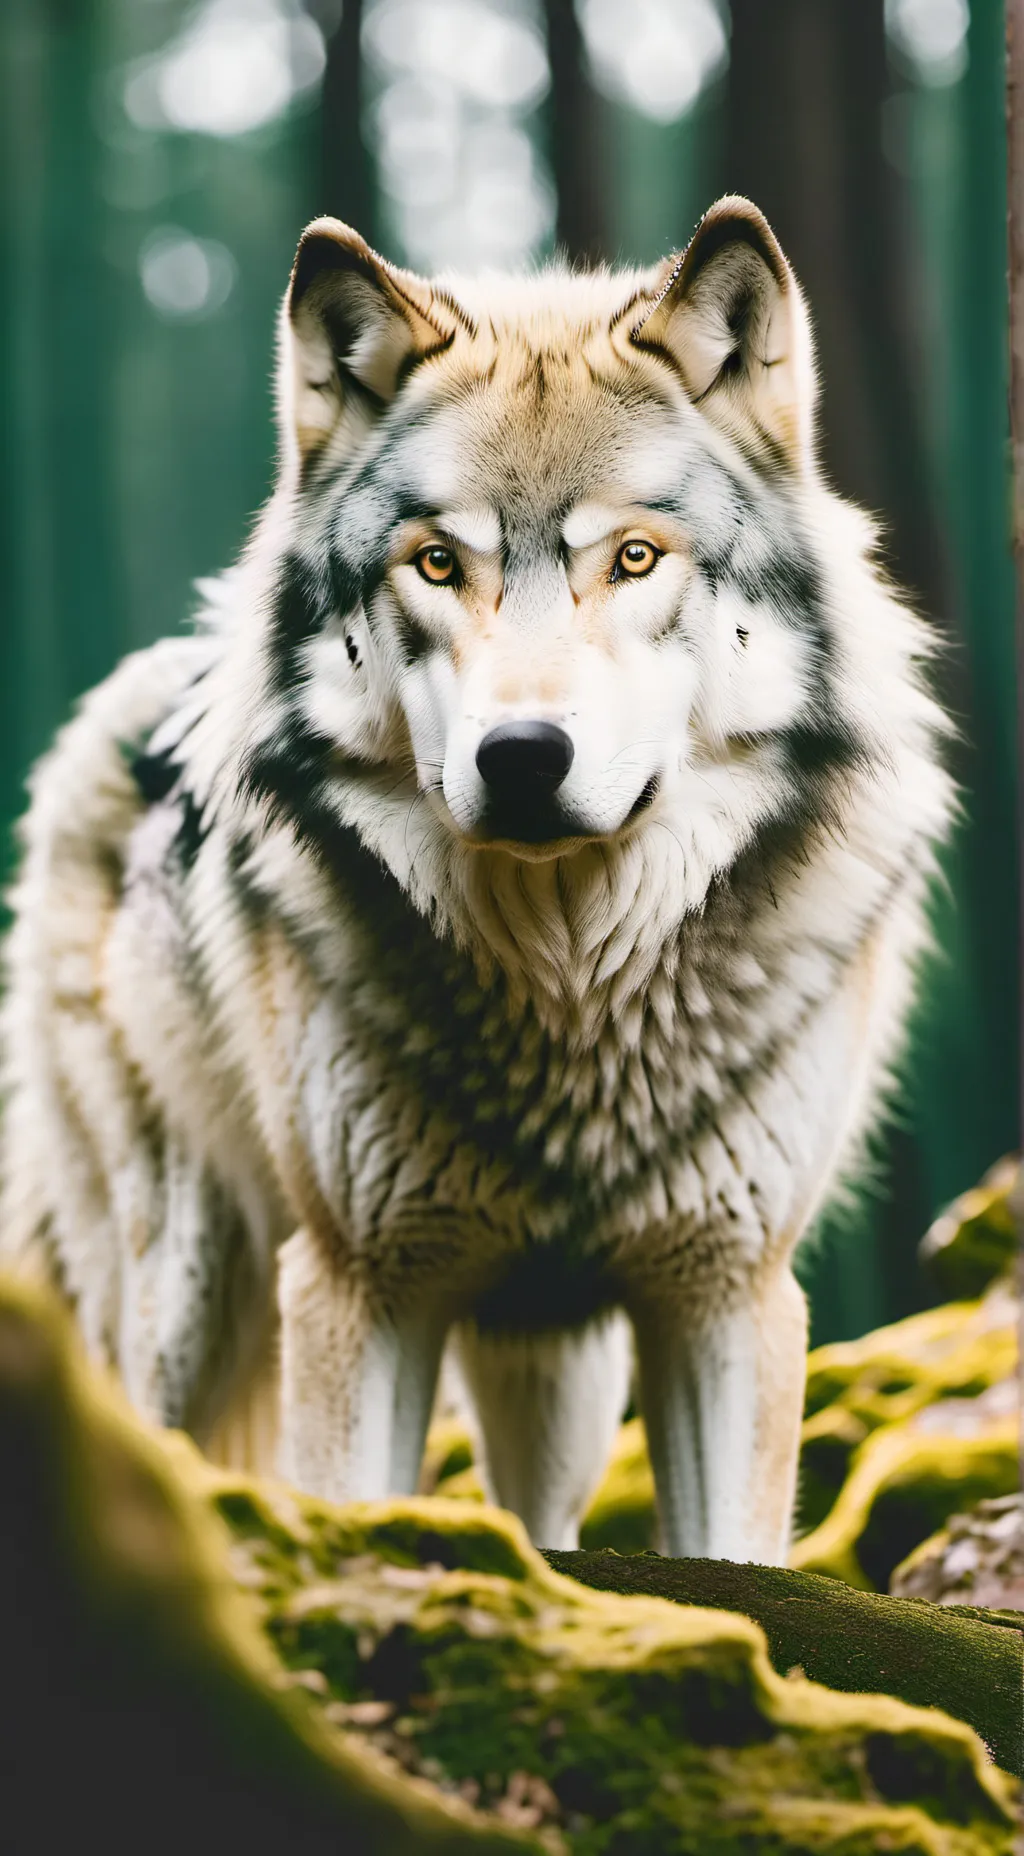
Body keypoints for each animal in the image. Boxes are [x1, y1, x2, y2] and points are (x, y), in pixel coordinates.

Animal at [0, 197, 952, 1561]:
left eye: (635, 557)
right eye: (438, 564)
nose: (521, 757)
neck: (568, 997)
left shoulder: (725, 1293)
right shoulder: (358, 1287)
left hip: (553, 1375)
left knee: (536, 1516)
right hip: (181, 1295)